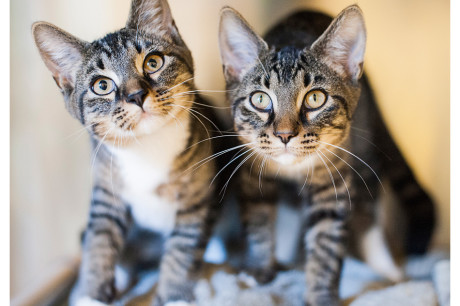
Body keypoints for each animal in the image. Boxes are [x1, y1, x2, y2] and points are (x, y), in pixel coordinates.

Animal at [31, 1, 221, 304]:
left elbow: (183, 246)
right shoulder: (105, 187)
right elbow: (100, 239)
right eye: (102, 85)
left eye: (153, 62)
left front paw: (174, 295)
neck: (147, 146)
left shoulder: (198, 193)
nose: (136, 96)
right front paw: (90, 295)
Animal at [218, 5, 434, 306]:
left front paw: (320, 294)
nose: (284, 134)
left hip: (363, 153)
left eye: (315, 98)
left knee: (369, 211)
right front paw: (261, 269)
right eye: (259, 99)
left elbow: (326, 244)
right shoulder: (253, 171)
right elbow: (259, 221)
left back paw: (387, 268)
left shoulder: (333, 180)